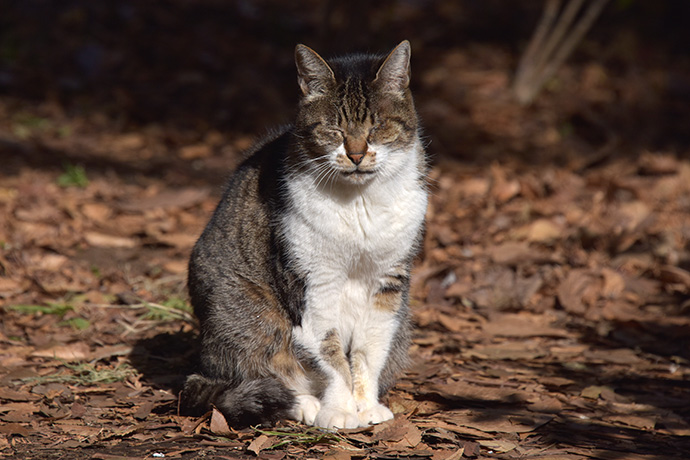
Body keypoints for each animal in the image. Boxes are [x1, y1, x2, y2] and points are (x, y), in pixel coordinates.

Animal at [177, 41, 424, 430]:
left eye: (376, 128)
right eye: (334, 130)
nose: (356, 155)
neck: (359, 204)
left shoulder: (388, 283)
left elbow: (368, 351)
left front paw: (366, 406)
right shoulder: (312, 285)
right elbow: (331, 355)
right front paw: (339, 411)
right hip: (245, 318)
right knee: (246, 383)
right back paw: (303, 403)